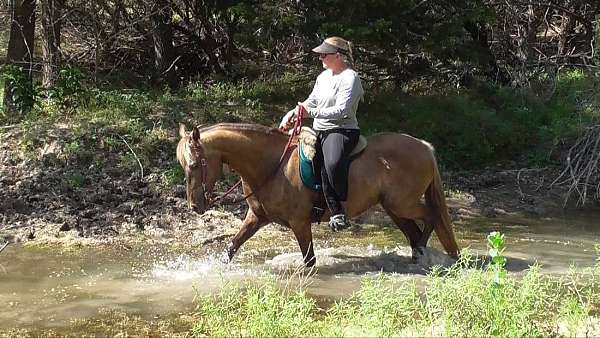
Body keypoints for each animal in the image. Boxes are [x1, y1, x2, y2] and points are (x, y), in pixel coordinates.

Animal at [177, 122, 460, 266]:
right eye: (183, 165)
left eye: (195, 164)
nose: (194, 206)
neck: (271, 165)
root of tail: (424, 146)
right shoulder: (257, 217)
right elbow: (232, 247)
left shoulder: (300, 222)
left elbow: (309, 261)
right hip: (394, 208)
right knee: (415, 229)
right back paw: (416, 255)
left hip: (402, 204)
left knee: (432, 215)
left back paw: (423, 253)